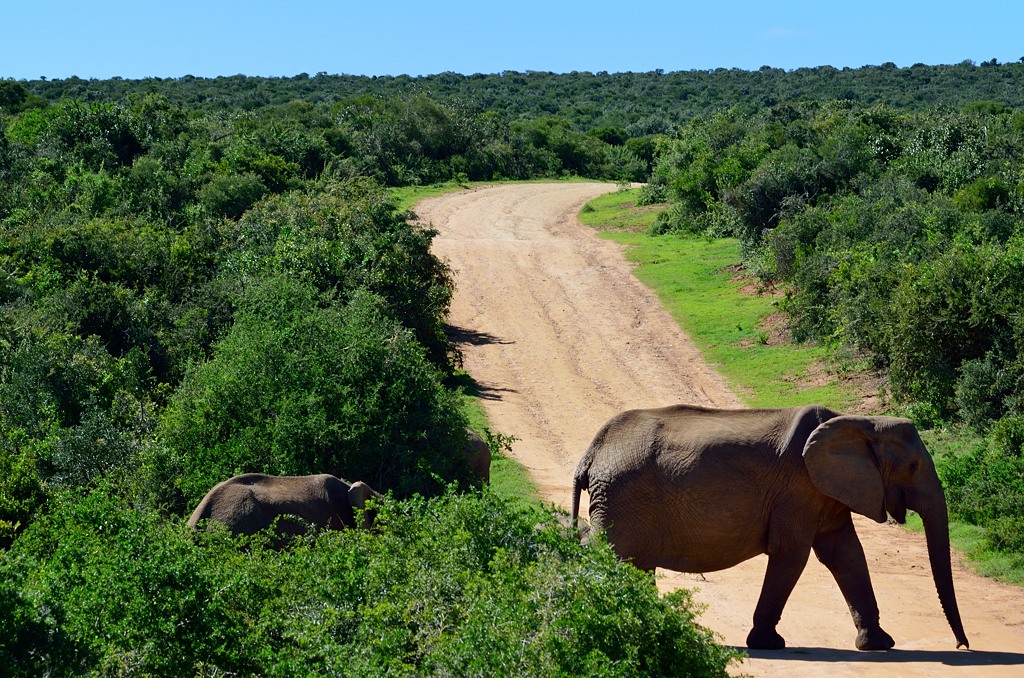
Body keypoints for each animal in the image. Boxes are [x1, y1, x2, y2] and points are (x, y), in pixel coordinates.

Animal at [573, 403, 970, 655]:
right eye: (914, 466)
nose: (962, 645)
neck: (860, 422)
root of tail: (591, 452)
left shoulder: (824, 491)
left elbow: (846, 555)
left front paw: (879, 645)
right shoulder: (798, 488)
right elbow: (793, 555)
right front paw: (768, 644)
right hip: (622, 496)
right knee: (613, 555)